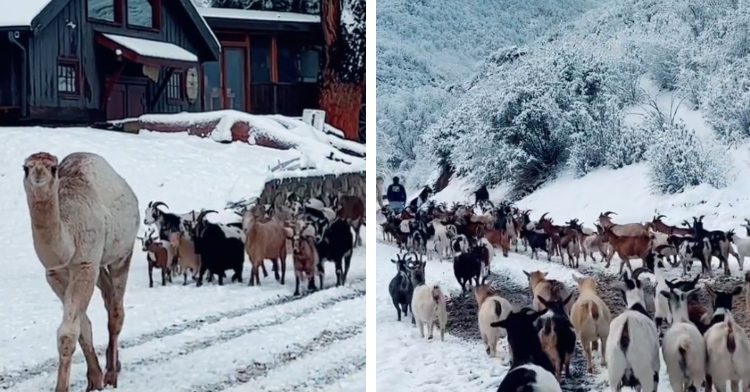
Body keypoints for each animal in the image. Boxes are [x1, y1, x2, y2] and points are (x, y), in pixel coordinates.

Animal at [22, 152, 140, 392]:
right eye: (25, 167)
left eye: (53, 167)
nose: (38, 173)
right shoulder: (55, 273)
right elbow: (82, 326)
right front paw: (93, 379)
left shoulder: (85, 264)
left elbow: (68, 333)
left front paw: (64, 387)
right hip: (100, 264)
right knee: (108, 298)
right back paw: (113, 366)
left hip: (123, 252)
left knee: (116, 311)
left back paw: (112, 374)